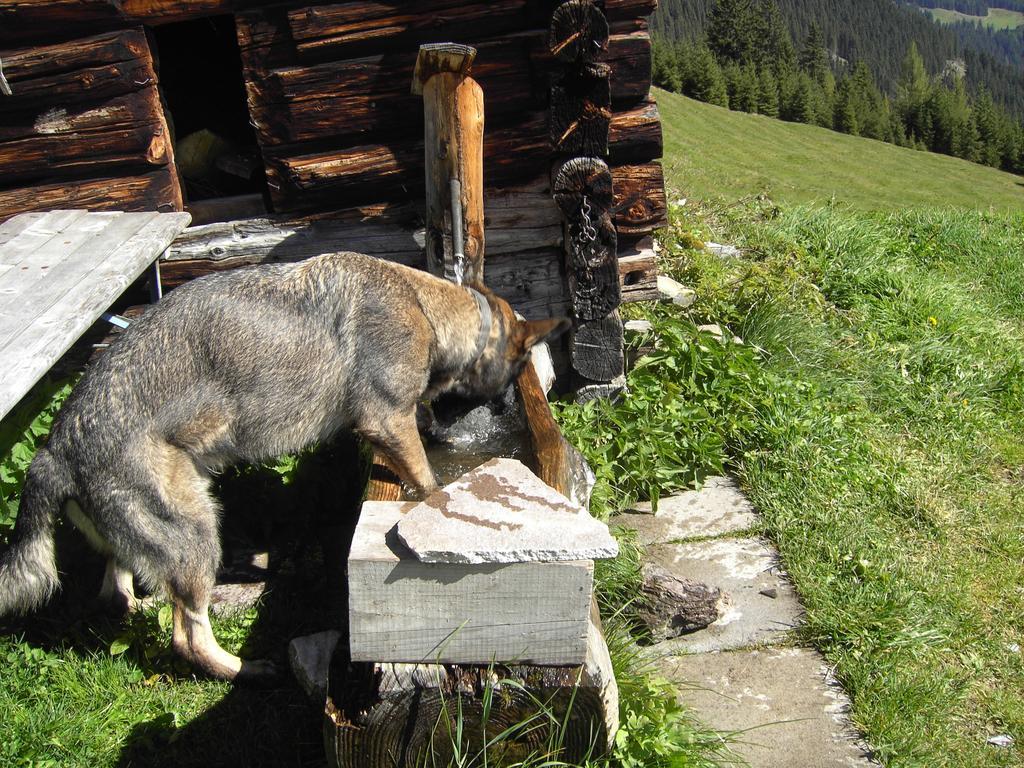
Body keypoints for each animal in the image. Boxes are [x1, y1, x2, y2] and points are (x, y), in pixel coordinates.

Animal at [0, 256, 569, 684]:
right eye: (520, 366)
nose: (504, 406)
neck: (426, 306)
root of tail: (54, 451)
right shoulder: (387, 418)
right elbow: (428, 480)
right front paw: (435, 493)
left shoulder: (390, 423)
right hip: (196, 531)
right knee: (187, 635)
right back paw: (246, 669)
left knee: (119, 591)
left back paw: (151, 601)